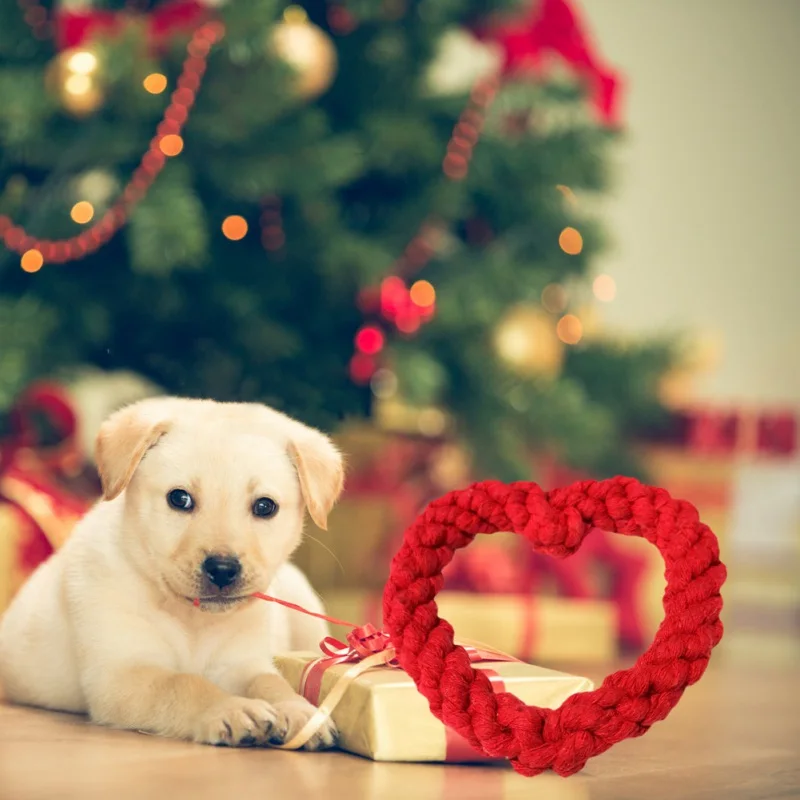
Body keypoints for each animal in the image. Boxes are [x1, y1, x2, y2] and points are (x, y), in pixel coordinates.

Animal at [0, 398, 342, 752]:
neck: (192, 621)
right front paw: (229, 708)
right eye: (180, 499)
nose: (223, 569)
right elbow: (183, 684)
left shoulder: (240, 663)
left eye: (265, 506)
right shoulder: (122, 674)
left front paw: (301, 712)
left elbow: (269, 680)